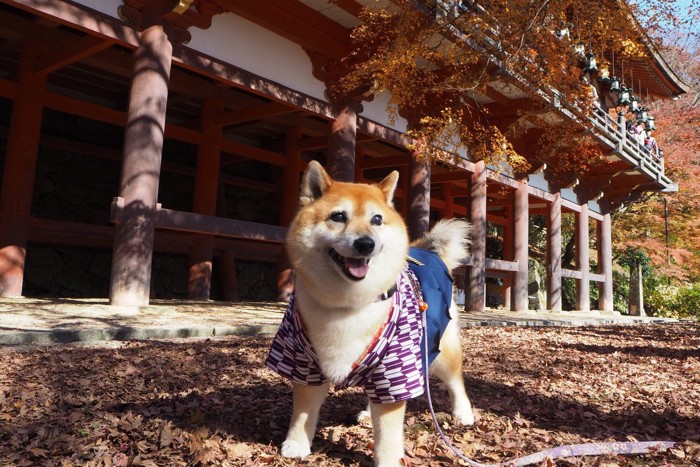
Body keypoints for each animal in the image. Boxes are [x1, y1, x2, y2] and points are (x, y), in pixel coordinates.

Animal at [266, 162, 474, 467]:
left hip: (438, 350)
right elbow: (303, 413)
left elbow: (387, 432)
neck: (347, 306)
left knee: (455, 381)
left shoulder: (397, 363)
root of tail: (429, 254)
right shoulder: (303, 363)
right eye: (338, 216)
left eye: (377, 220)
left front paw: (387, 460)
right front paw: (297, 444)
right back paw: (367, 411)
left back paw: (464, 413)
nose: (366, 244)